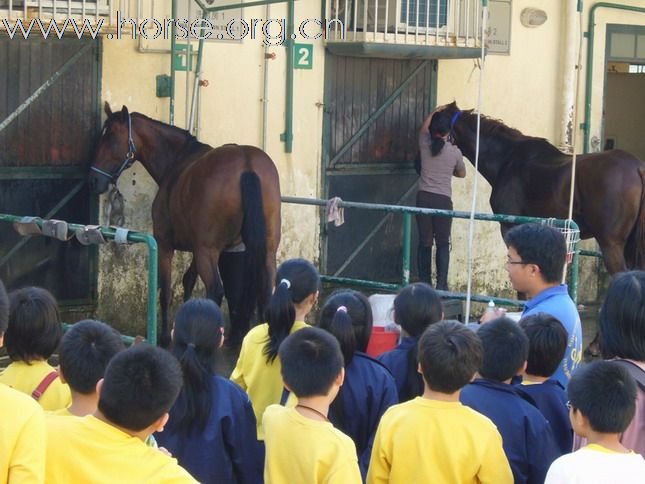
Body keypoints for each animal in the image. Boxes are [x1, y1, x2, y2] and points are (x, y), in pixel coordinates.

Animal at [89, 104, 280, 346]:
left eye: (111, 136)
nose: (93, 180)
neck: (178, 161)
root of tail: (247, 165)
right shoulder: (200, 249)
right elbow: (188, 281)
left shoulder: (166, 244)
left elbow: (166, 292)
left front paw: (164, 337)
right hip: (265, 250)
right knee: (265, 290)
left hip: (207, 251)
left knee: (215, 291)